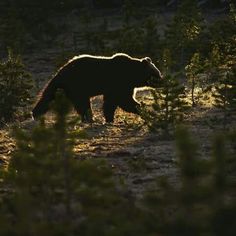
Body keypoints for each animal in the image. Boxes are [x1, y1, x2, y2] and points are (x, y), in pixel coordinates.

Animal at [32, 52, 162, 122]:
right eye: (156, 74)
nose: (162, 81)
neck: (132, 75)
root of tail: (60, 70)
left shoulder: (121, 86)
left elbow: (111, 103)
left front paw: (109, 118)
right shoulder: (120, 83)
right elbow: (124, 101)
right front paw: (142, 108)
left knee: (48, 97)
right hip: (76, 85)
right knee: (81, 104)